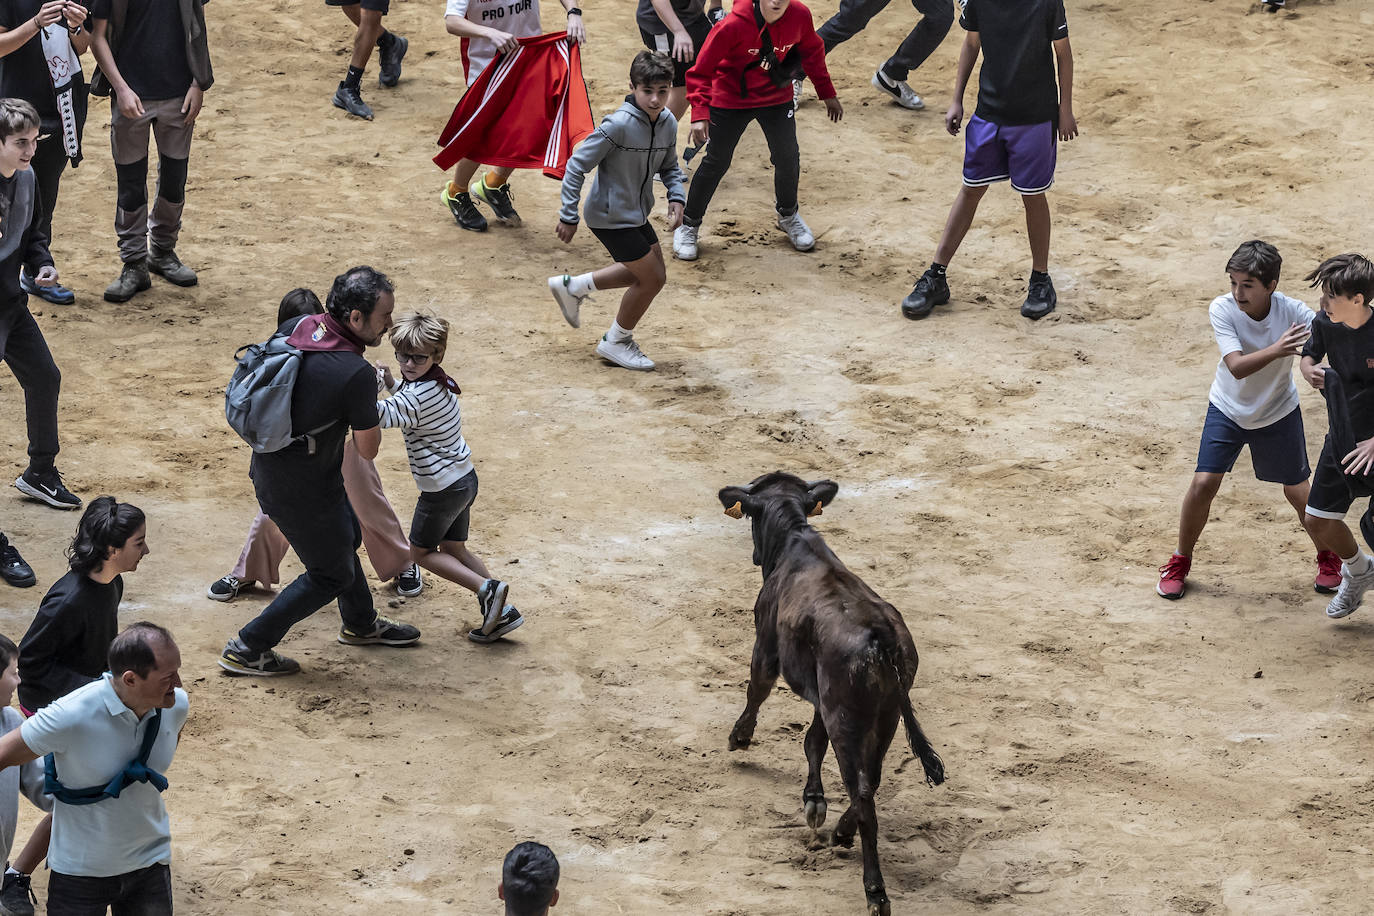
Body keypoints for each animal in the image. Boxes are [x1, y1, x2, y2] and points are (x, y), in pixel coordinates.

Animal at [719, 472, 945, 916]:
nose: (754, 556)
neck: (794, 538)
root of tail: (882, 636)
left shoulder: (765, 649)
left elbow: (757, 691)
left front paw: (740, 737)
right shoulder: (823, 698)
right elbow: (811, 741)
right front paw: (814, 800)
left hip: (847, 719)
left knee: (863, 792)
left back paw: (875, 891)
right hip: (884, 717)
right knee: (870, 780)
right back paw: (842, 833)